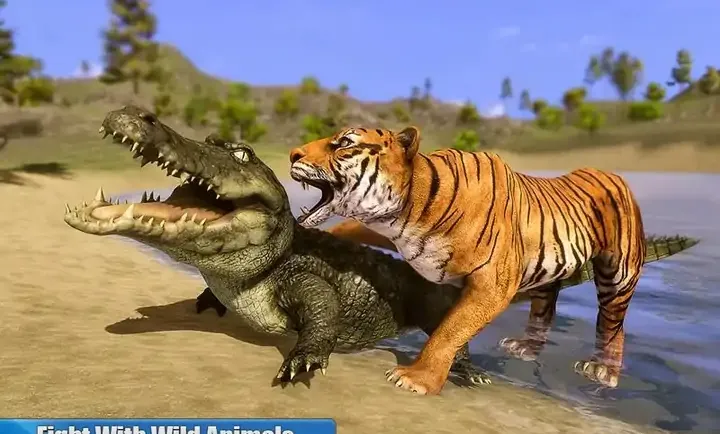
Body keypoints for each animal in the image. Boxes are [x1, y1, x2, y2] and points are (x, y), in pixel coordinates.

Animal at [288, 125, 647, 396]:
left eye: (344, 143)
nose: (293, 154)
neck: (408, 210)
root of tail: (616, 176)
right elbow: (344, 227)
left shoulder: (493, 285)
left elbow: (449, 331)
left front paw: (416, 379)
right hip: (546, 272)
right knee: (544, 308)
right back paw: (525, 348)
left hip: (618, 273)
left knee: (613, 324)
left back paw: (603, 371)